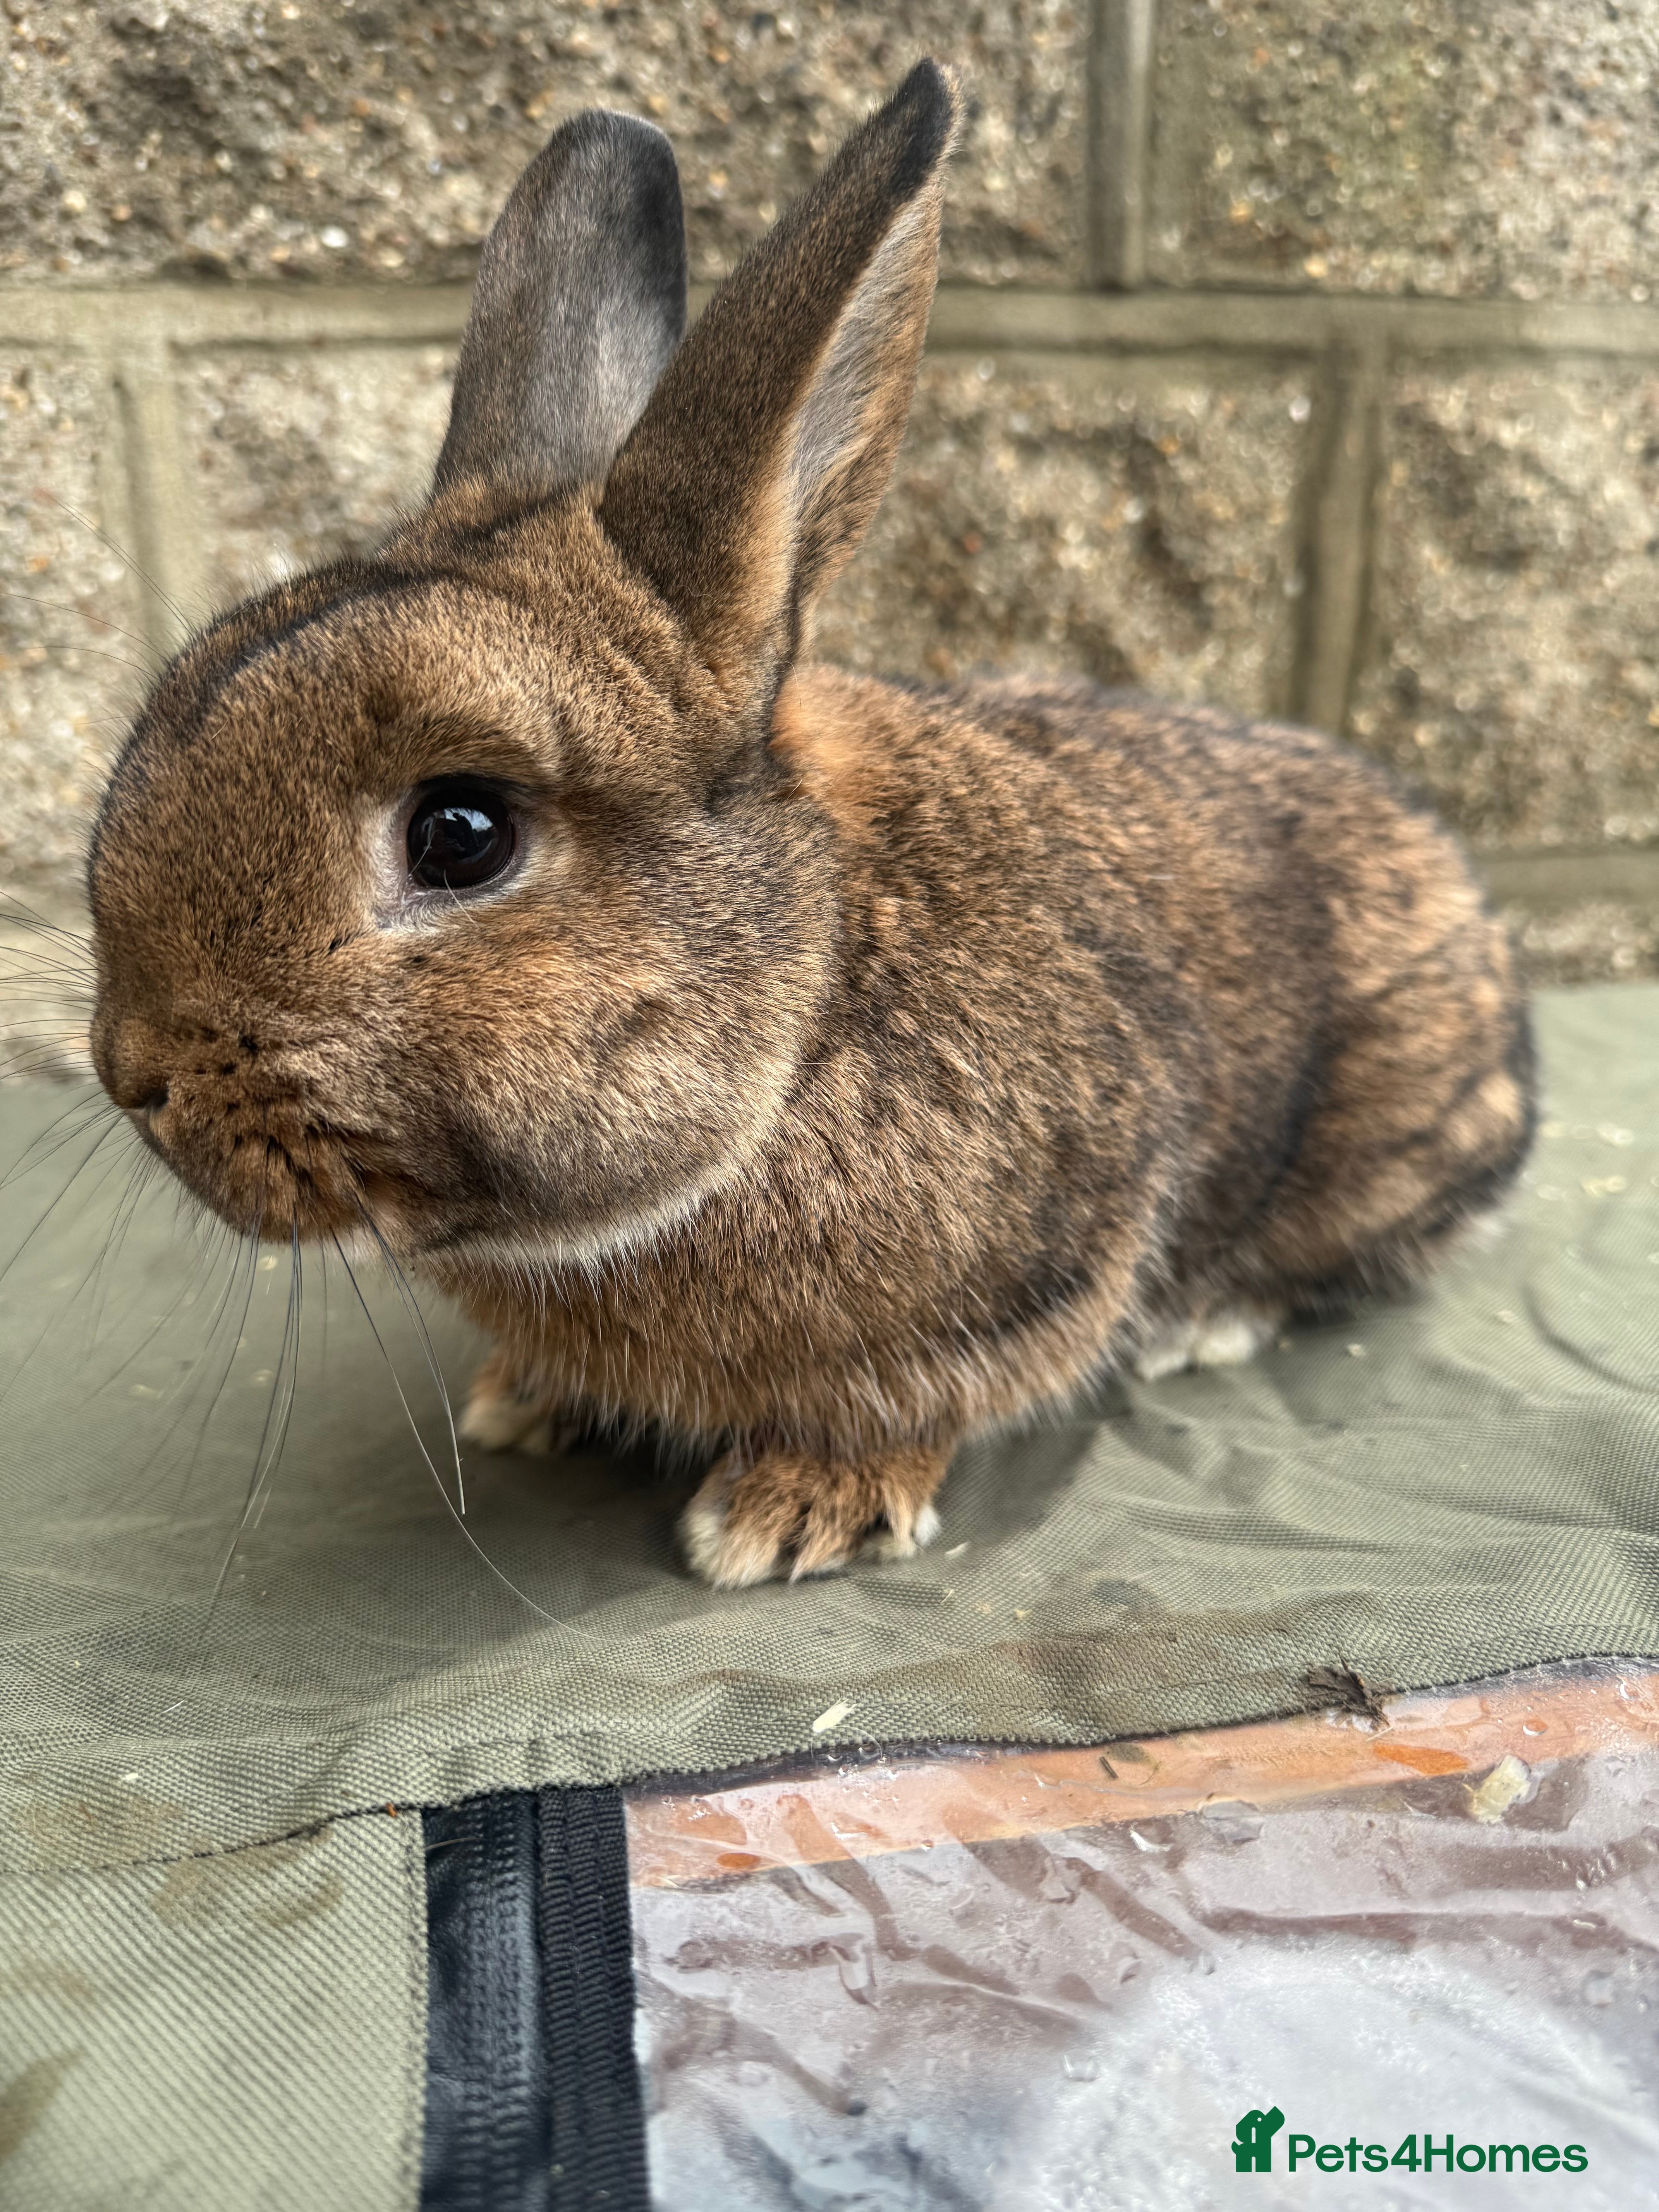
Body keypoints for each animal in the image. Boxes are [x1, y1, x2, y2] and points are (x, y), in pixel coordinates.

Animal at [86, 60, 1535, 1588]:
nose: (132, 1069)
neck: (811, 1005)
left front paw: (785, 1517)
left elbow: (924, 1399)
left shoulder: (1040, 1266)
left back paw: (1209, 1321)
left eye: (459, 834)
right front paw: (522, 1405)